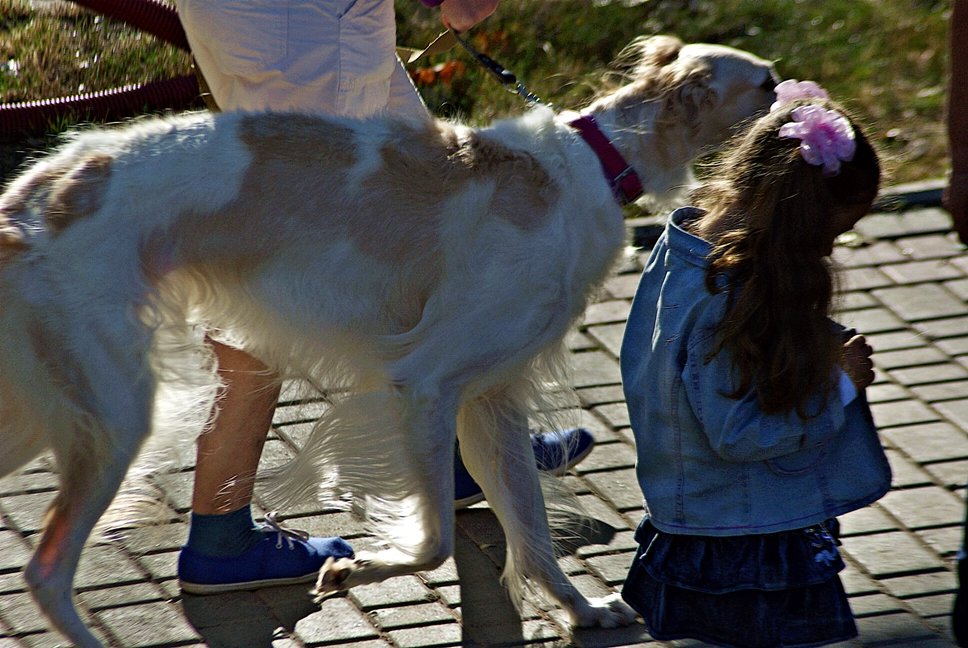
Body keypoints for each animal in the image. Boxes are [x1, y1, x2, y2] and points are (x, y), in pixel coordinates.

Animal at [0, 36, 776, 648]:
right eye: (767, 83)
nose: (802, 109)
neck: (588, 162)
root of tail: (31, 197)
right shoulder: (428, 382)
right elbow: (434, 542)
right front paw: (360, 565)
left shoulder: (489, 396)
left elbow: (530, 530)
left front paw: (582, 609)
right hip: (116, 412)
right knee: (45, 570)